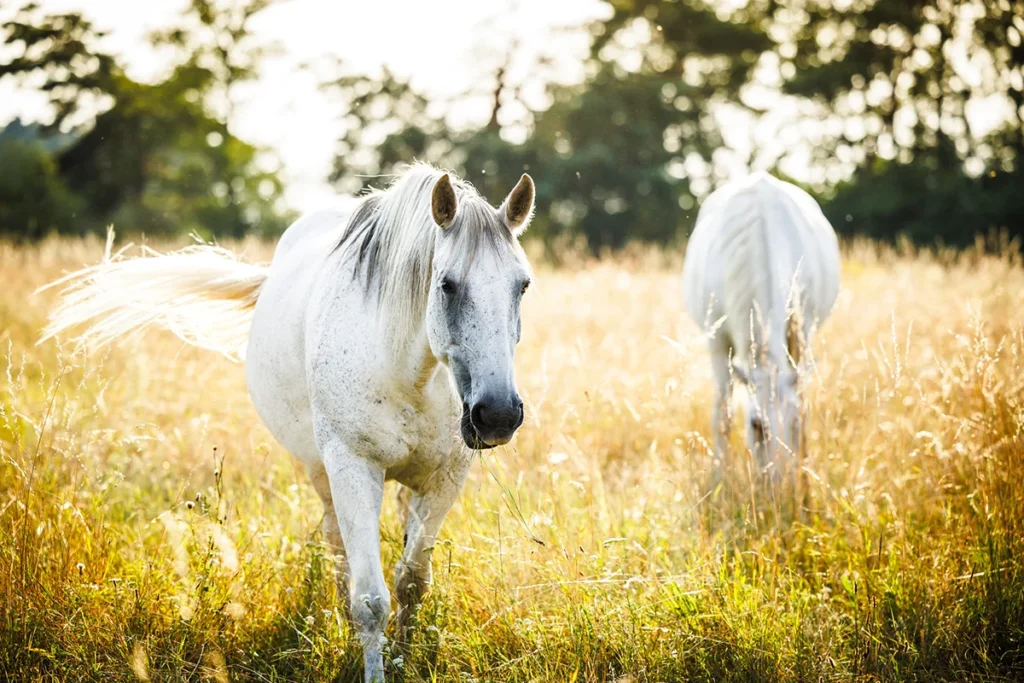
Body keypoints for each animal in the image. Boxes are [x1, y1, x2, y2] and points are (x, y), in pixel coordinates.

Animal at [41, 164, 537, 683]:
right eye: (447, 285)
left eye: (522, 285)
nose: (498, 414)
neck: (408, 370)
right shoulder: (351, 467)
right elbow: (370, 600)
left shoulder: (445, 478)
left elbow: (412, 581)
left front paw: (404, 657)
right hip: (321, 469)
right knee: (338, 549)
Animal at [681, 172, 840, 480]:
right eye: (757, 426)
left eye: (793, 422)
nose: (778, 484)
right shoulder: (717, 342)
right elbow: (723, 415)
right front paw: (720, 475)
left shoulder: (801, 331)